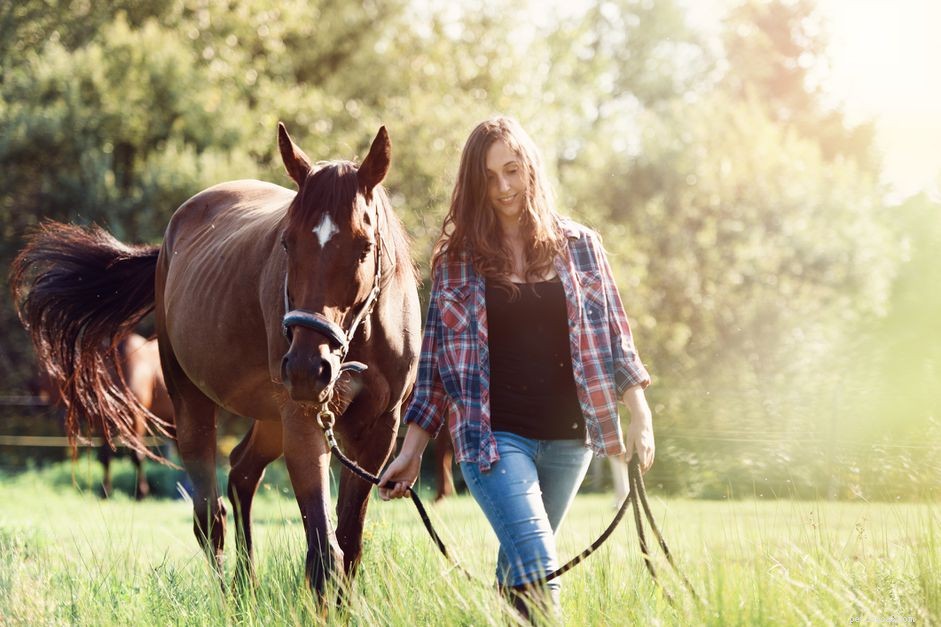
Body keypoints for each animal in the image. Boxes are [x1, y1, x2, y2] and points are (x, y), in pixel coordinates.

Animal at [27, 333, 174, 499]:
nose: (30, 387)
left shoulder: (137, 417)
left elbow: (137, 454)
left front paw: (141, 493)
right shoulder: (104, 421)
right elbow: (105, 456)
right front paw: (105, 491)